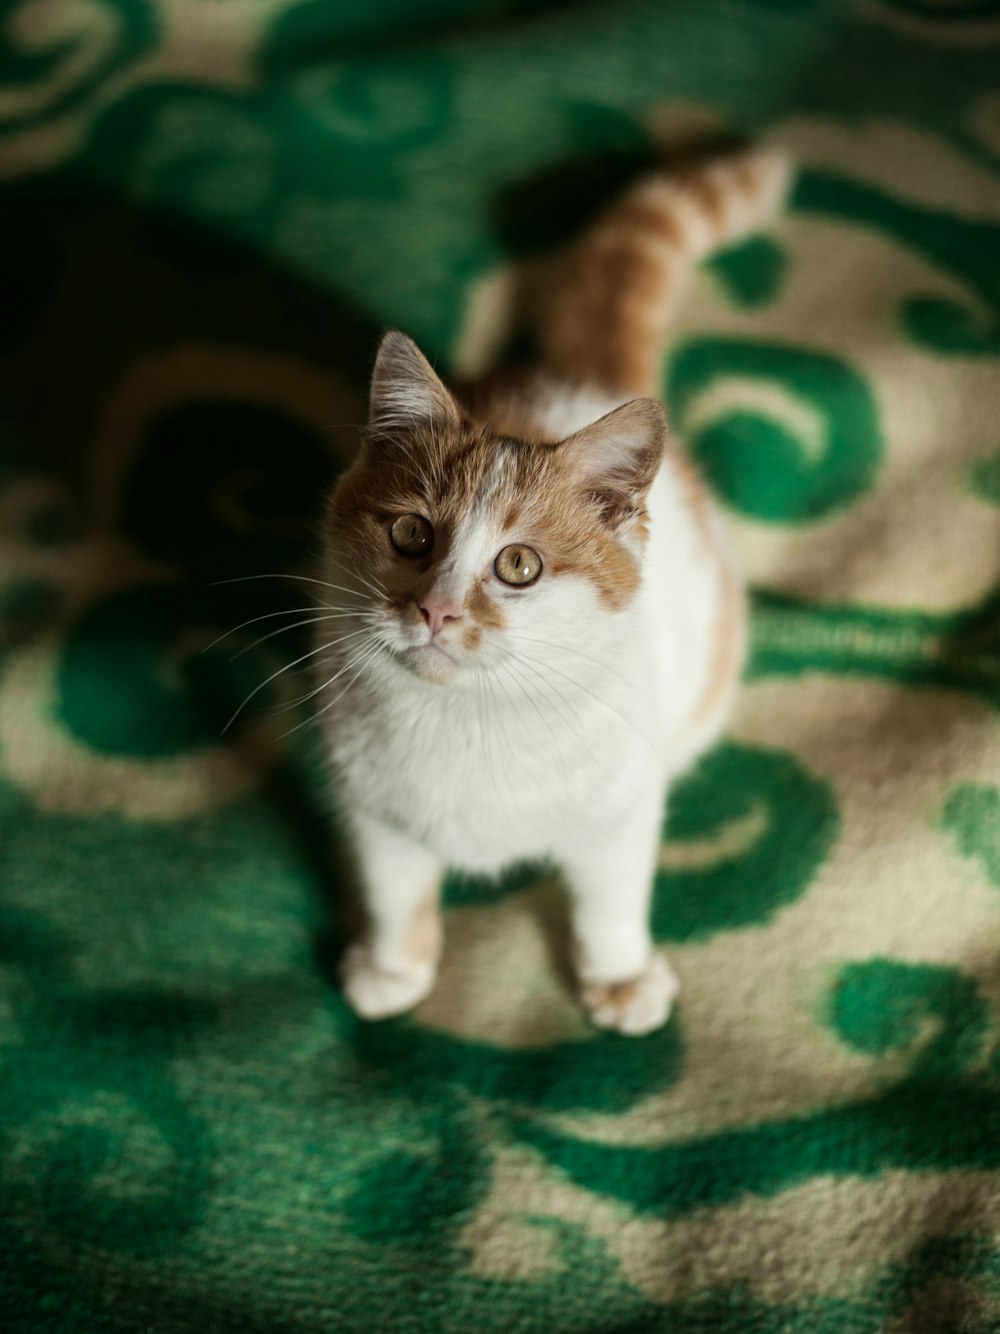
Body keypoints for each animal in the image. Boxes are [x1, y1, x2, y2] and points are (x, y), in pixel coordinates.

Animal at [317, 148, 794, 1040]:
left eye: (519, 567)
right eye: (411, 535)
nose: (436, 610)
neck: (471, 720)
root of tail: (578, 380)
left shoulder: (622, 806)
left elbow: (610, 901)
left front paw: (619, 977)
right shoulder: (374, 810)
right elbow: (396, 891)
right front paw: (395, 967)